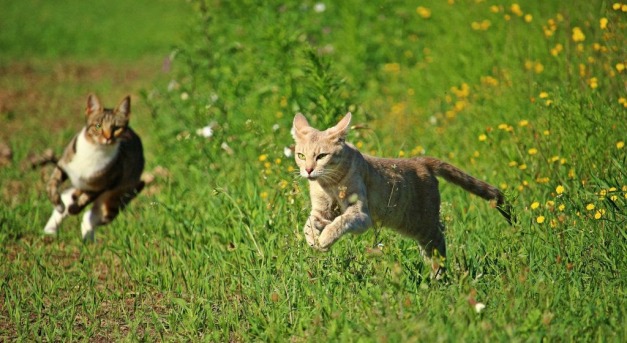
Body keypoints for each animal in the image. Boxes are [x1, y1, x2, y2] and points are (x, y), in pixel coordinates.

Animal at [44, 94, 145, 242]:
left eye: (116, 128)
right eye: (98, 126)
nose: (108, 138)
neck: (95, 150)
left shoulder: (103, 185)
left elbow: (84, 200)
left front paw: (73, 209)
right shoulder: (64, 165)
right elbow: (52, 184)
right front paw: (59, 205)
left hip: (115, 199)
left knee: (90, 216)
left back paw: (87, 239)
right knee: (69, 196)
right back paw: (50, 230)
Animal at [292, 113, 512, 274]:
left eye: (321, 156)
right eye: (301, 155)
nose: (308, 170)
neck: (328, 184)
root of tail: (420, 161)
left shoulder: (360, 214)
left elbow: (340, 222)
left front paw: (324, 240)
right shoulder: (321, 211)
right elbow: (308, 224)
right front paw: (313, 240)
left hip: (422, 224)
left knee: (439, 243)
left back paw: (438, 277)